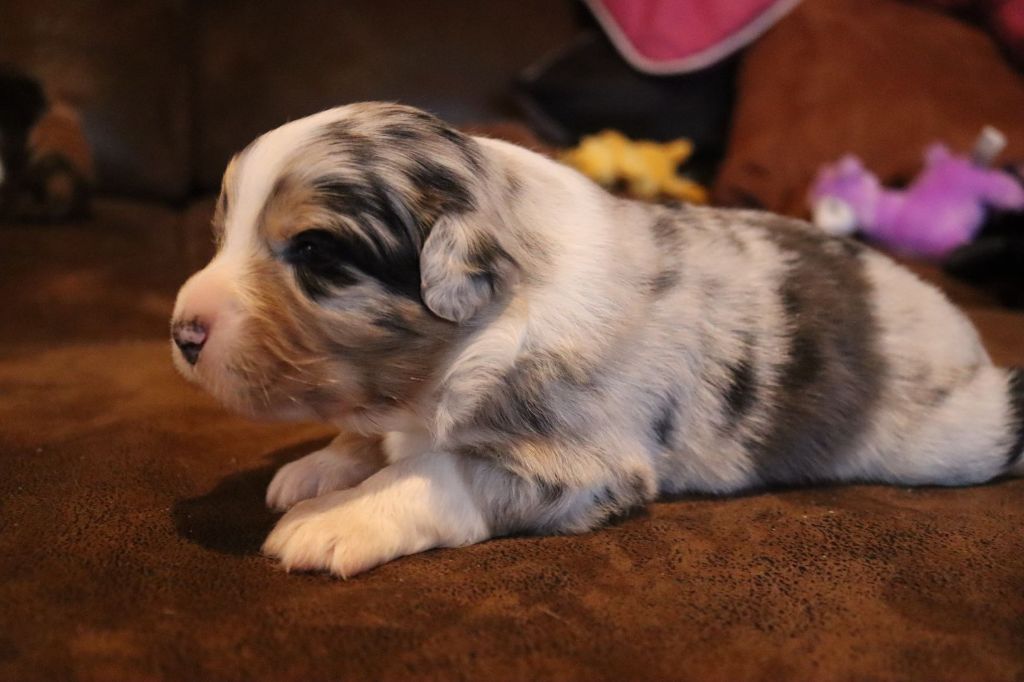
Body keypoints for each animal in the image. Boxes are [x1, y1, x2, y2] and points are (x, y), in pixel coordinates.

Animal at [171, 102, 1024, 577]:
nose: (181, 332)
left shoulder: (583, 463)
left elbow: (434, 472)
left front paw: (335, 518)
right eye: (221, 233)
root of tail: (960, 328)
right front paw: (318, 467)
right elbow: (372, 433)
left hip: (951, 439)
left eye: (315, 250)